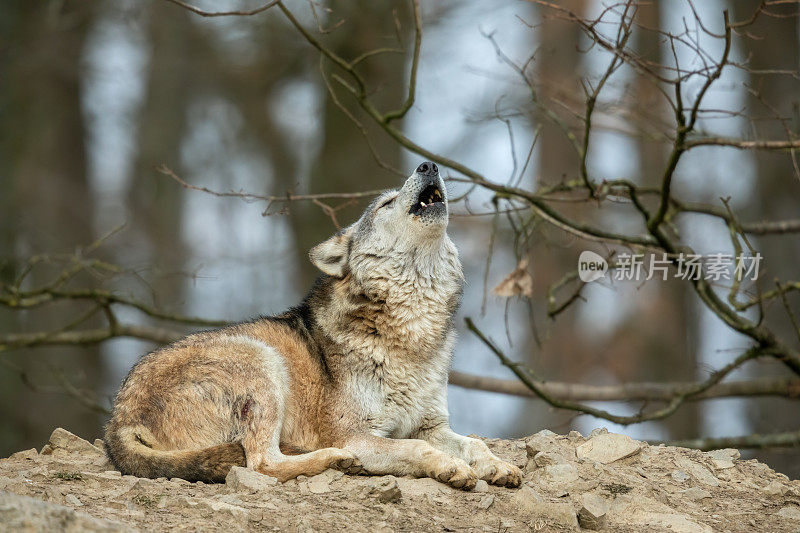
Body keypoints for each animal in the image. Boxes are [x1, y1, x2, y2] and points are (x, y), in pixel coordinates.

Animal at [103, 162, 520, 490]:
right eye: (385, 204)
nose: (428, 165)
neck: (411, 324)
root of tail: (117, 420)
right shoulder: (356, 434)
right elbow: (418, 448)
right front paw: (451, 467)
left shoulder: (430, 425)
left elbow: (474, 444)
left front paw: (499, 467)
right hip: (261, 361)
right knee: (263, 463)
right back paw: (335, 459)